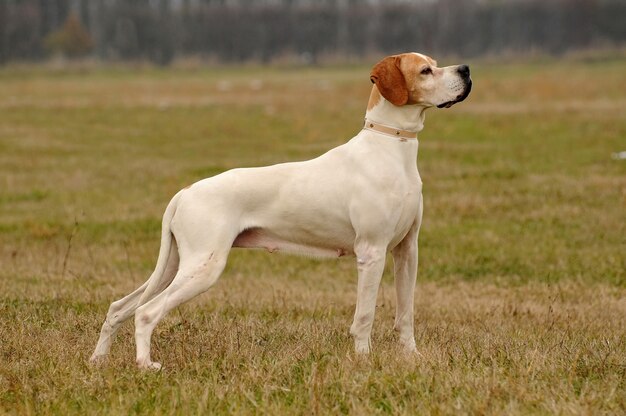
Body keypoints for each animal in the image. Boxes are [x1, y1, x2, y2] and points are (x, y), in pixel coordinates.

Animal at [90, 53, 470, 368]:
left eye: (436, 64)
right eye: (425, 71)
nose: (465, 70)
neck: (392, 146)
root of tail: (185, 193)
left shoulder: (407, 251)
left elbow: (406, 314)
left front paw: (412, 357)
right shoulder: (372, 252)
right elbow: (364, 317)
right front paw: (363, 360)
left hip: (176, 266)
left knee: (119, 307)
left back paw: (98, 360)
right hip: (203, 267)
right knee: (145, 312)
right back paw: (146, 365)